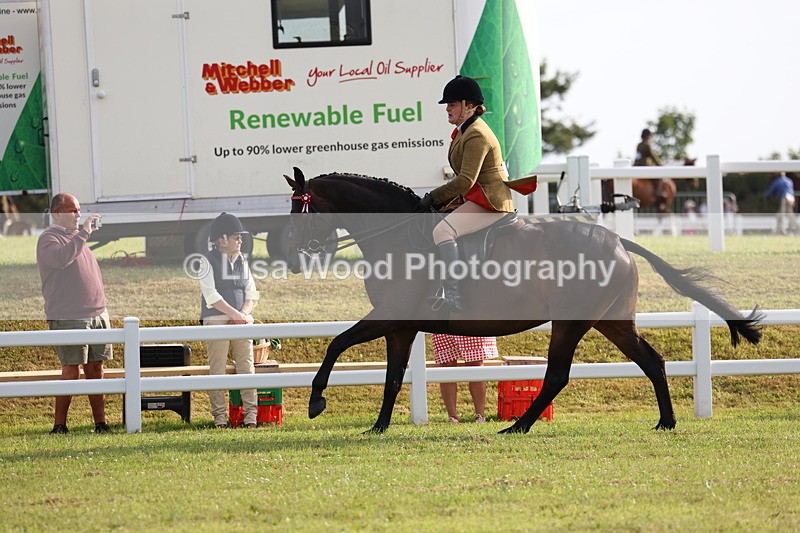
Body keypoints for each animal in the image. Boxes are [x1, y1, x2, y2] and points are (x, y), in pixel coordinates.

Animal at [284, 168, 763, 434]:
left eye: (299, 209)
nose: (290, 257)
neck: (395, 234)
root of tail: (617, 241)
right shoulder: (399, 326)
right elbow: (393, 377)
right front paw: (379, 426)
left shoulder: (388, 316)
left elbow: (336, 344)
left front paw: (315, 402)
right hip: (612, 321)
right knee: (652, 361)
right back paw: (666, 422)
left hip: (570, 323)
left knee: (557, 375)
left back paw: (518, 426)